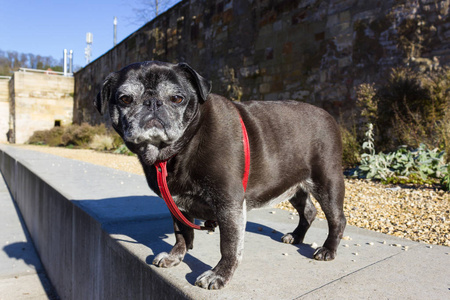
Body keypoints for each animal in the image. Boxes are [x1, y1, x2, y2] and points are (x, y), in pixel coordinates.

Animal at [95, 61, 346, 290]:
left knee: (337, 219)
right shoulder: (175, 204)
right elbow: (181, 232)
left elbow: (229, 244)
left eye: (177, 98)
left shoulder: (229, 203)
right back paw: (296, 236)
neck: (178, 150)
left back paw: (328, 249)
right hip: (292, 184)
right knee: (308, 211)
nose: (152, 102)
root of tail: (327, 115)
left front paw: (219, 275)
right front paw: (175, 256)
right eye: (125, 99)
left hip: (327, 182)